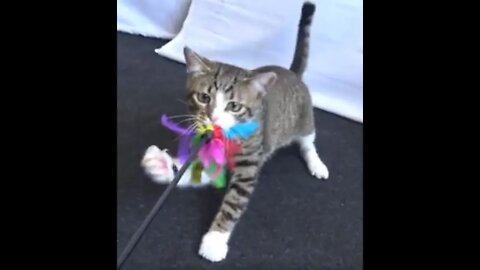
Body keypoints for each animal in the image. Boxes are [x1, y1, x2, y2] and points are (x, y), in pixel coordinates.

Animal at [142, 2, 330, 262]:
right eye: (204, 98)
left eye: (234, 106)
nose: (213, 118)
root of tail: (293, 73)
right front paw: (161, 165)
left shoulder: (251, 161)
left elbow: (235, 200)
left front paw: (214, 240)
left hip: (303, 117)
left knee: (307, 140)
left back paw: (316, 163)